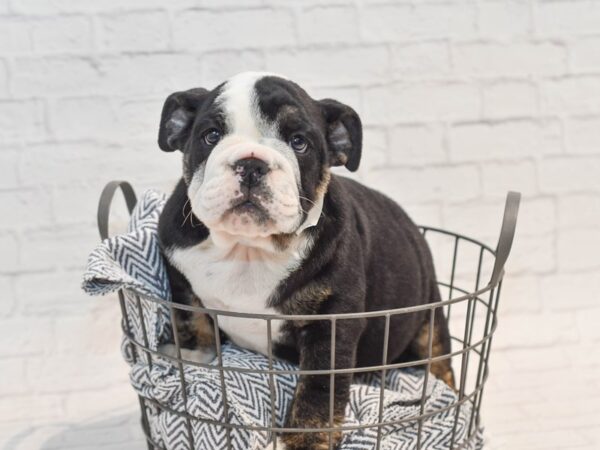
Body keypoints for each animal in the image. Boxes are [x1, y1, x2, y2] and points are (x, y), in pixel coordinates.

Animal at [157, 72, 452, 448]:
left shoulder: (331, 324)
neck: (249, 248)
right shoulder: (178, 272)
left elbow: (318, 391)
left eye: (299, 142)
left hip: (430, 323)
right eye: (210, 135)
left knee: (440, 360)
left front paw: (303, 440)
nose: (251, 164)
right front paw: (195, 356)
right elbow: (192, 317)